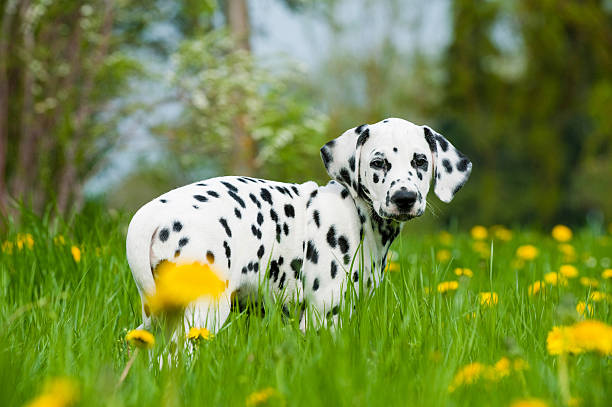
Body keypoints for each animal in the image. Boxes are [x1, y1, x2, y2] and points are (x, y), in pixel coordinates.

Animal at [125, 117, 474, 334]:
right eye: (378, 163)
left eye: (420, 161)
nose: (404, 198)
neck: (357, 215)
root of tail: (150, 215)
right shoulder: (324, 316)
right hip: (204, 311)